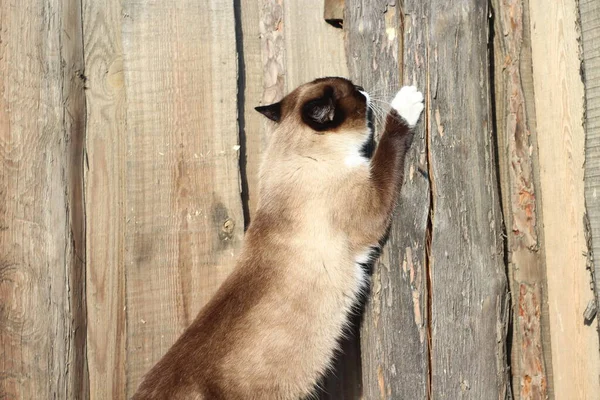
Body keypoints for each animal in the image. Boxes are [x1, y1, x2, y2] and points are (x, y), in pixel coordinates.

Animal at [132, 76, 422, 398]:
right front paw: (407, 101)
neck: (296, 155)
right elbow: (388, 146)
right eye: (354, 92)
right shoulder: (372, 208)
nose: (363, 88)